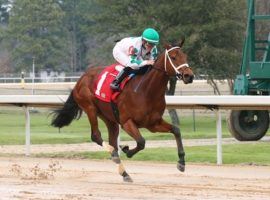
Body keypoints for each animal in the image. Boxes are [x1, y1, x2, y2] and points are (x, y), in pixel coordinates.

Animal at [51, 39, 194, 182]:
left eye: (185, 56)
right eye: (174, 57)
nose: (189, 76)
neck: (146, 91)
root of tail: (80, 79)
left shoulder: (153, 123)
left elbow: (176, 130)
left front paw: (181, 162)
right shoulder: (126, 122)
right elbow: (141, 142)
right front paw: (127, 150)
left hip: (109, 118)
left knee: (112, 140)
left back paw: (124, 172)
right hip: (90, 108)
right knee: (96, 136)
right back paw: (114, 153)